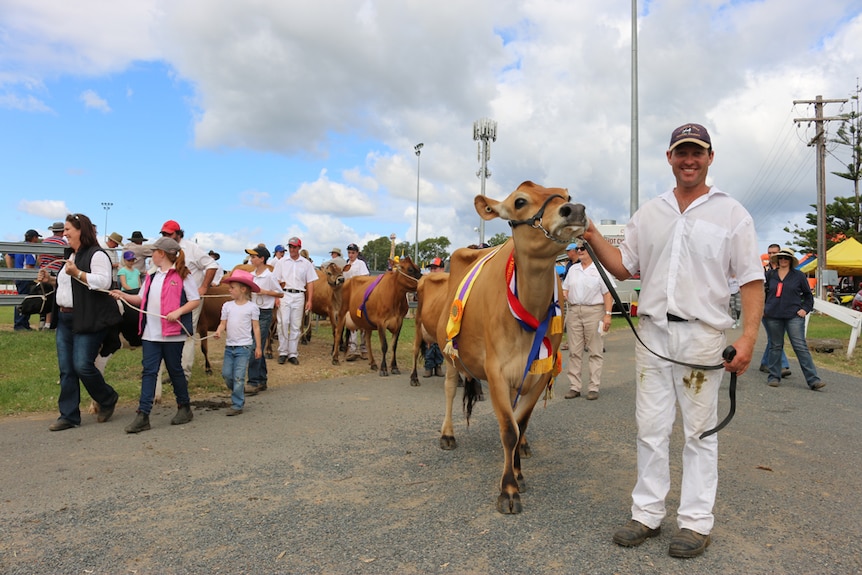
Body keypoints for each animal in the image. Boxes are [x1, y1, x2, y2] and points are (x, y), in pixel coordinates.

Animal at [432, 182, 588, 516]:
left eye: (567, 195)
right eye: (519, 202)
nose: (575, 210)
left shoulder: (541, 372)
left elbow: (521, 423)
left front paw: (518, 472)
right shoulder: (497, 372)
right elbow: (508, 429)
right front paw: (508, 489)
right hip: (449, 353)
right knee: (450, 390)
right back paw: (447, 434)